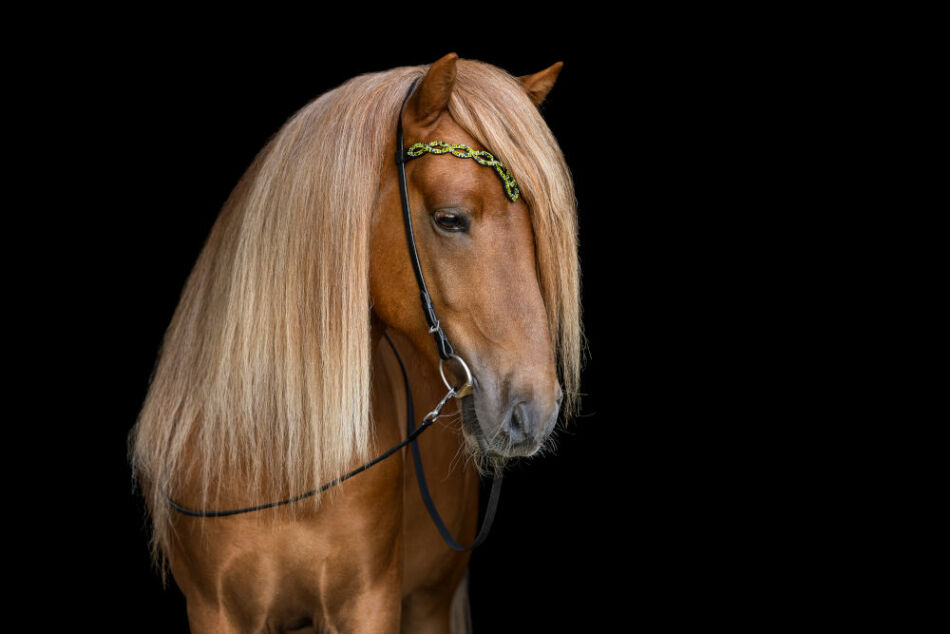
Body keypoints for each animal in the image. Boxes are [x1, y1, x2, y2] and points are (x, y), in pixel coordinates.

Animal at [130, 53, 581, 633]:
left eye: (537, 226)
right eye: (449, 219)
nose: (535, 409)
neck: (280, 456)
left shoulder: (370, 603)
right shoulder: (215, 611)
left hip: (429, 601)